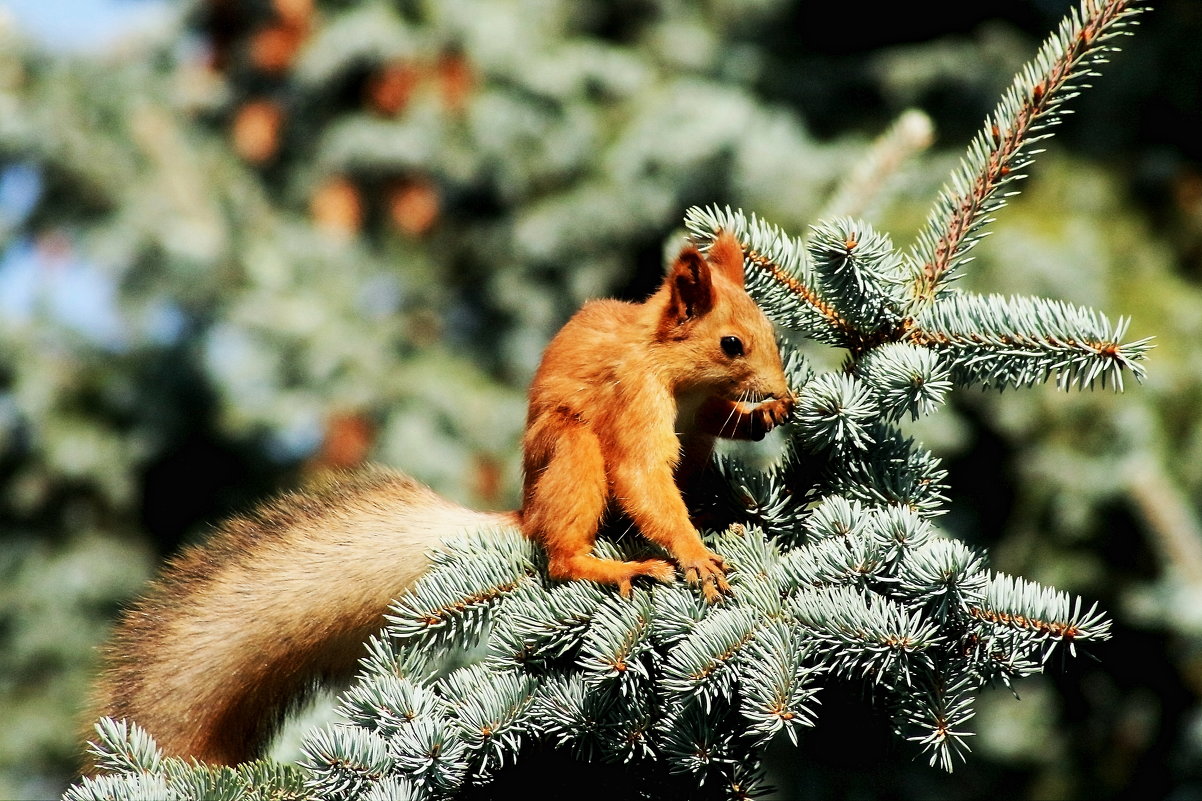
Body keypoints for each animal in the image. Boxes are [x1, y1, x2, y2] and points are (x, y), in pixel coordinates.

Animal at [87, 227, 798, 764]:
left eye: (770, 330)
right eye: (731, 343)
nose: (780, 388)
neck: (677, 377)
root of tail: (524, 511)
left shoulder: (700, 415)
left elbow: (713, 426)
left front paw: (764, 416)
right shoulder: (631, 398)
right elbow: (644, 475)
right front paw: (693, 555)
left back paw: (729, 515)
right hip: (569, 458)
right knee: (560, 551)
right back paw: (616, 564)